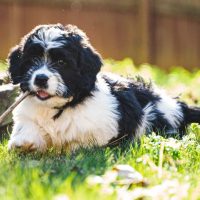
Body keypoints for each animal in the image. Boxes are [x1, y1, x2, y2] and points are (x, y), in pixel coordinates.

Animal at [7, 23, 200, 152]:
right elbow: (28, 128)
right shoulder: (28, 116)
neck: (59, 107)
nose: (40, 78)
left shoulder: (101, 130)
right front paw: (22, 143)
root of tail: (178, 106)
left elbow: (80, 144)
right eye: (32, 60)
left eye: (61, 62)